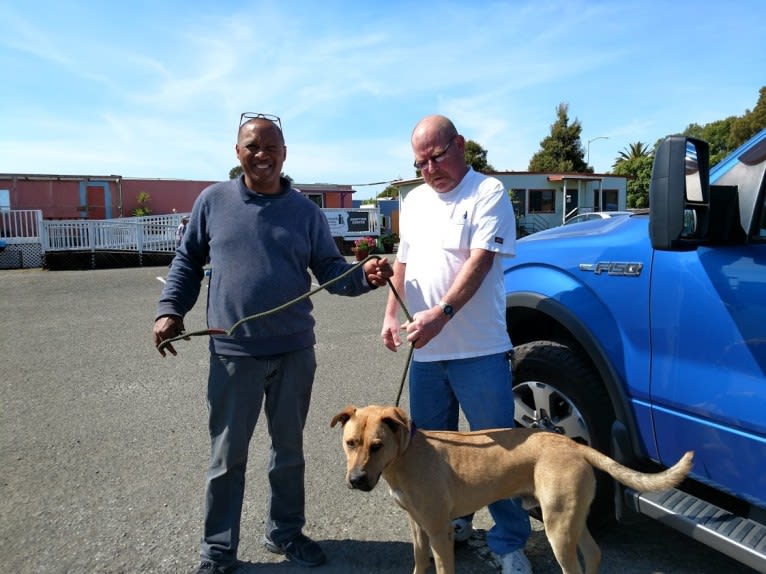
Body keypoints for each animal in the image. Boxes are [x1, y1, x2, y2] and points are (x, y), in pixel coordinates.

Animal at [330, 404, 696, 574]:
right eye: (350, 443)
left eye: (377, 446)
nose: (356, 480)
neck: (404, 456)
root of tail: (573, 445)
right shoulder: (418, 528)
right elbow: (420, 563)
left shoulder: (437, 531)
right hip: (570, 517)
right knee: (593, 553)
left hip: (558, 527)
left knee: (575, 566)